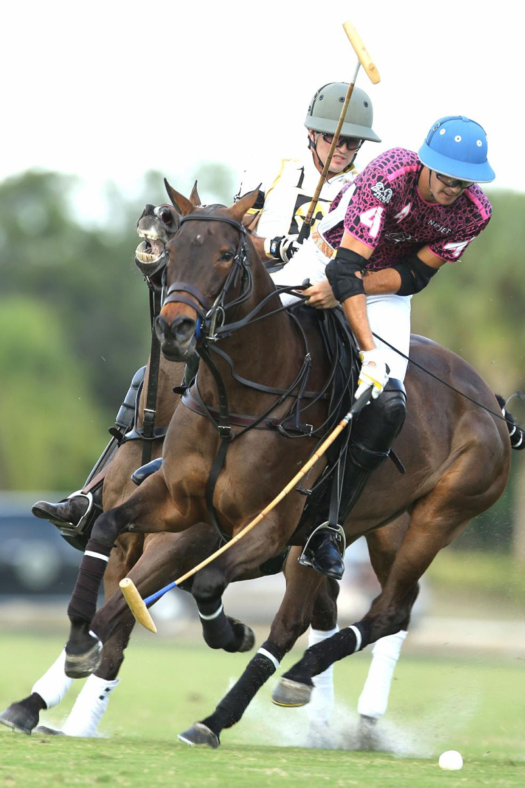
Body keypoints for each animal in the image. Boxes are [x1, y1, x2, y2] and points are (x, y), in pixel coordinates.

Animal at [53, 186, 508, 752]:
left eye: (227, 255)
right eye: (173, 253)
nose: (176, 329)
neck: (235, 403)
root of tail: (492, 401)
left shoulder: (265, 526)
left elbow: (203, 587)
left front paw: (231, 634)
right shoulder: (177, 504)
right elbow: (112, 548)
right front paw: (74, 650)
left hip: (436, 516)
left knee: (380, 611)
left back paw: (261, 698)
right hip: (366, 532)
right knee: (350, 608)